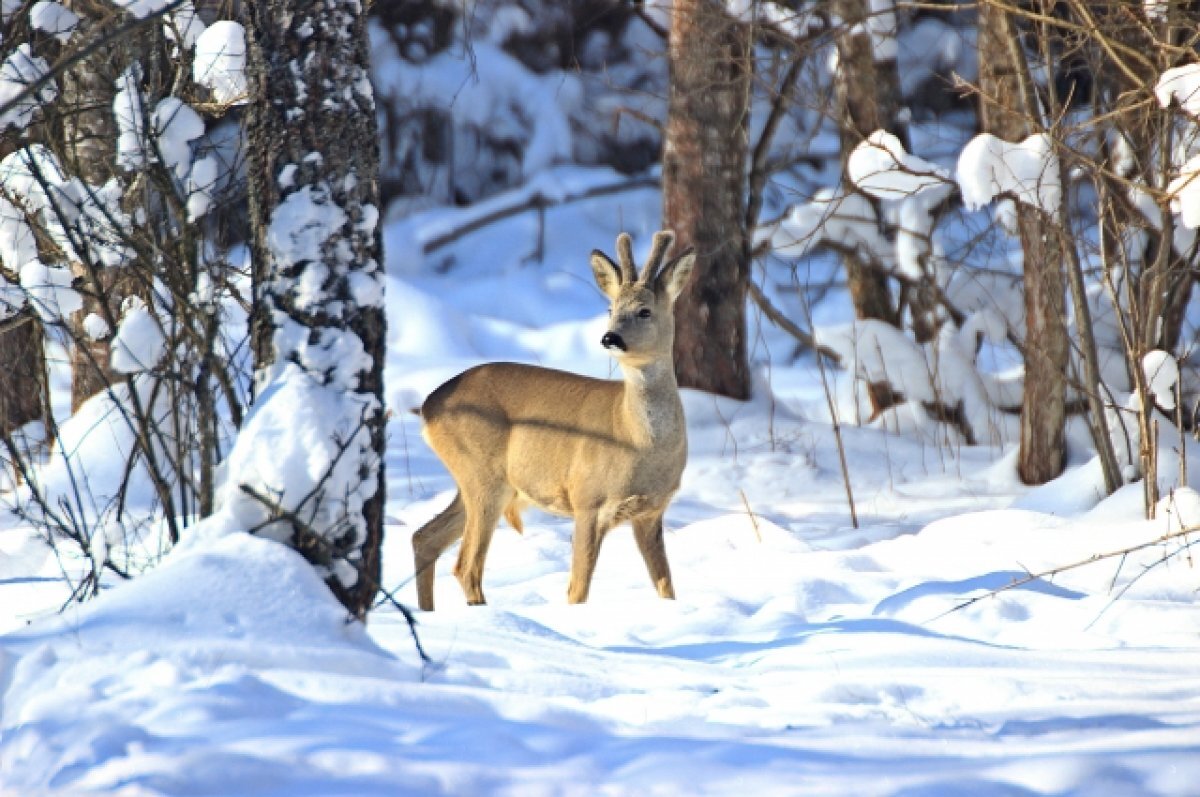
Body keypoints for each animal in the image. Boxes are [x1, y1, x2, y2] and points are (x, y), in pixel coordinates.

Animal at [412, 230, 700, 609]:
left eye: (645, 311)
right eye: (610, 309)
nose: (610, 337)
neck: (636, 440)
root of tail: (429, 405)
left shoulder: (651, 511)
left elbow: (666, 586)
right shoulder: (588, 498)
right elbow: (577, 589)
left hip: (480, 483)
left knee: (424, 538)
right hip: (483, 476)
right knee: (466, 565)